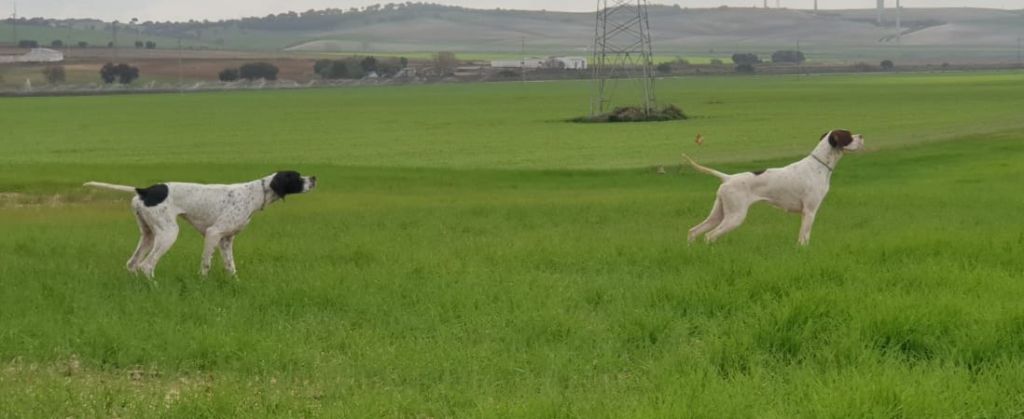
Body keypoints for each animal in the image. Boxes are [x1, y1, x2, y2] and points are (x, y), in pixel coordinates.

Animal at [84, 170, 315, 276]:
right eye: (296, 177)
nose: (314, 178)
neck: (255, 193)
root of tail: (145, 190)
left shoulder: (226, 241)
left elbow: (231, 268)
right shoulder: (214, 233)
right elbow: (205, 265)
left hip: (148, 235)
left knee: (132, 264)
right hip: (168, 233)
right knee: (147, 265)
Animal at [684, 129, 860, 242]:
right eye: (848, 135)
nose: (862, 135)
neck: (818, 165)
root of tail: (728, 178)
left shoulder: (805, 213)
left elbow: (801, 237)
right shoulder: (810, 211)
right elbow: (804, 238)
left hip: (718, 214)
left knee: (694, 231)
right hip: (735, 216)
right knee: (710, 235)